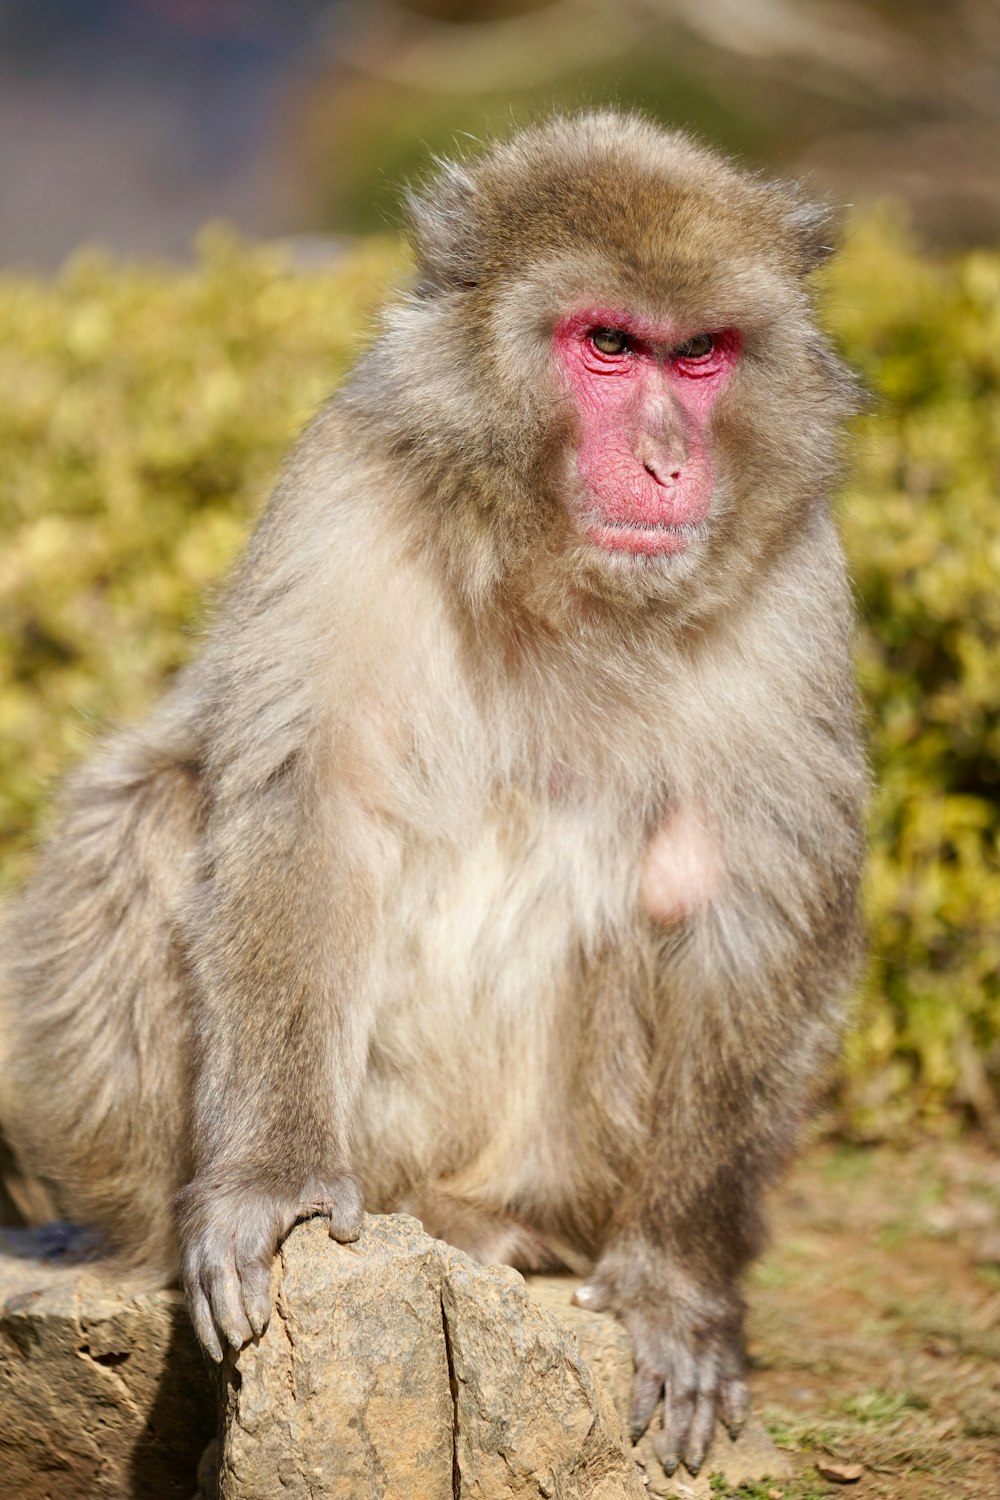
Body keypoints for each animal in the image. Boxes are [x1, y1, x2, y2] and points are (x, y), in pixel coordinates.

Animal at [0, 114, 863, 1476]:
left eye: (701, 354)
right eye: (607, 345)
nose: (669, 459)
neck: (552, 571)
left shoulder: (796, 571)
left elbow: (752, 890)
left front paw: (679, 1287)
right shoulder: (346, 489)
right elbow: (307, 804)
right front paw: (274, 1181)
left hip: (562, 1152)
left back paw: (497, 1224)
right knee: (152, 812)